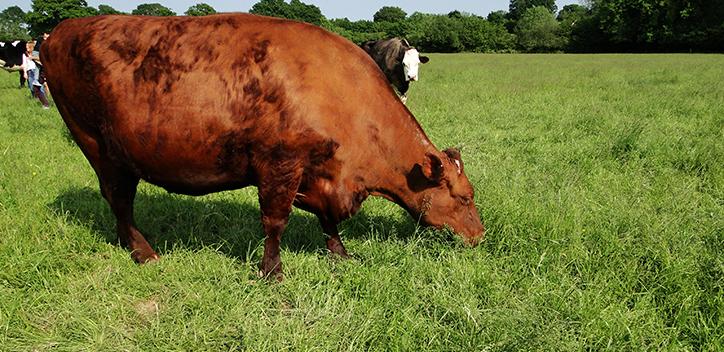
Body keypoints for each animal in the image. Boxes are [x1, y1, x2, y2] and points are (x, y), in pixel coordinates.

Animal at [41, 13, 486, 280]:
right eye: (464, 198)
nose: (480, 235)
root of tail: (61, 31)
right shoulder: (280, 165)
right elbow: (275, 222)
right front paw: (272, 271)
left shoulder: (322, 175)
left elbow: (329, 221)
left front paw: (341, 254)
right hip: (99, 148)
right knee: (119, 200)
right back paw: (143, 252)